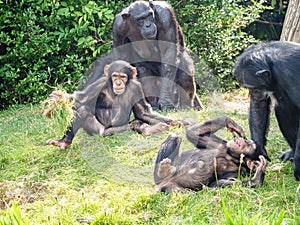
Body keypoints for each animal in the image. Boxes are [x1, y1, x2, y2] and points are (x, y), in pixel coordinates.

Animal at [45, 59, 186, 149]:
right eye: (114, 76)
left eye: (123, 77)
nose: (118, 83)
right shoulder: (99, 83)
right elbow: (80, 99)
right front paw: (59, 98)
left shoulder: (137, 87)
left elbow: (143, 112)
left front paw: (177, 122)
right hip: (98, 131)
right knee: (83, 111)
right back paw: (64, 142)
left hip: (118, 130)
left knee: (135, 123)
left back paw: (151, 129)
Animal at [233, 40, 300, 181]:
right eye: (249, 88)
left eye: (255, 88)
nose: (254, 93)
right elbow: (258, 106)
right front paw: (257, 151)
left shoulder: (291, 74)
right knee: (282, 109)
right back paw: (291, 152)